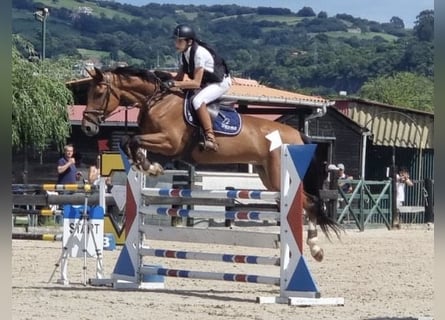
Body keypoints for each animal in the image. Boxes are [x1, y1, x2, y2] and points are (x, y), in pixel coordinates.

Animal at [81, 66, 342, 262]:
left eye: (99, 92)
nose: (88, 127)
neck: (157, 101)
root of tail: (297, 134)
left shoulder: (169, 142)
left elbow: (132, 139)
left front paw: (150, 166)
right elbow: (128, 141)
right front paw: (145, 165)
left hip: (280, 174)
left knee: (309, 202)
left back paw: (315, 247)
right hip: (268, 177)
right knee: (306, 202)